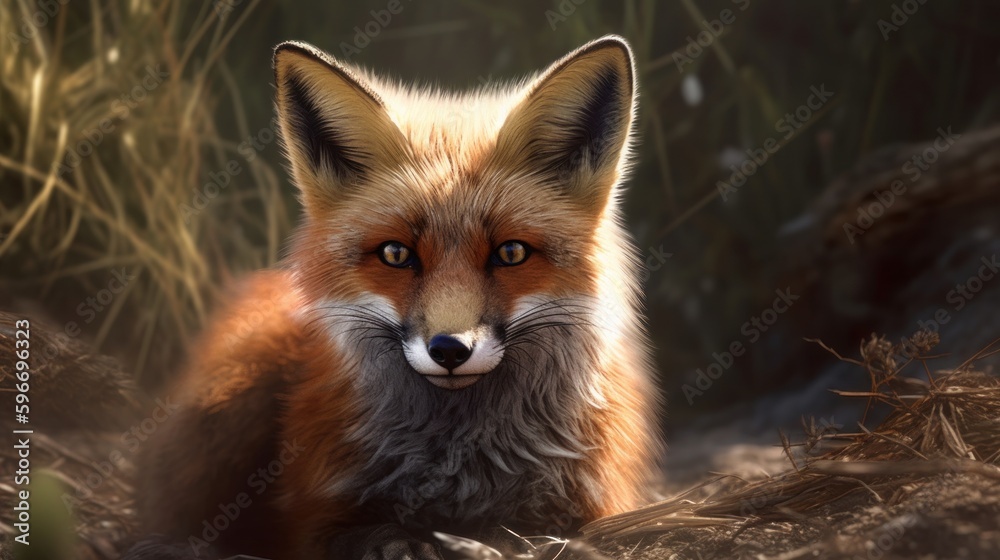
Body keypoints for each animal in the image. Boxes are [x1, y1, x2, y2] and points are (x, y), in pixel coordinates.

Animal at [128, 35, 662, 560]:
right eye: (396, 254)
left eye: (510, 253)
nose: (449, 350)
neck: (459, 464)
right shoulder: (315, 513)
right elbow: (357, 534)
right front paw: (402, 542)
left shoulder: (585, 508)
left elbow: (541, 535)